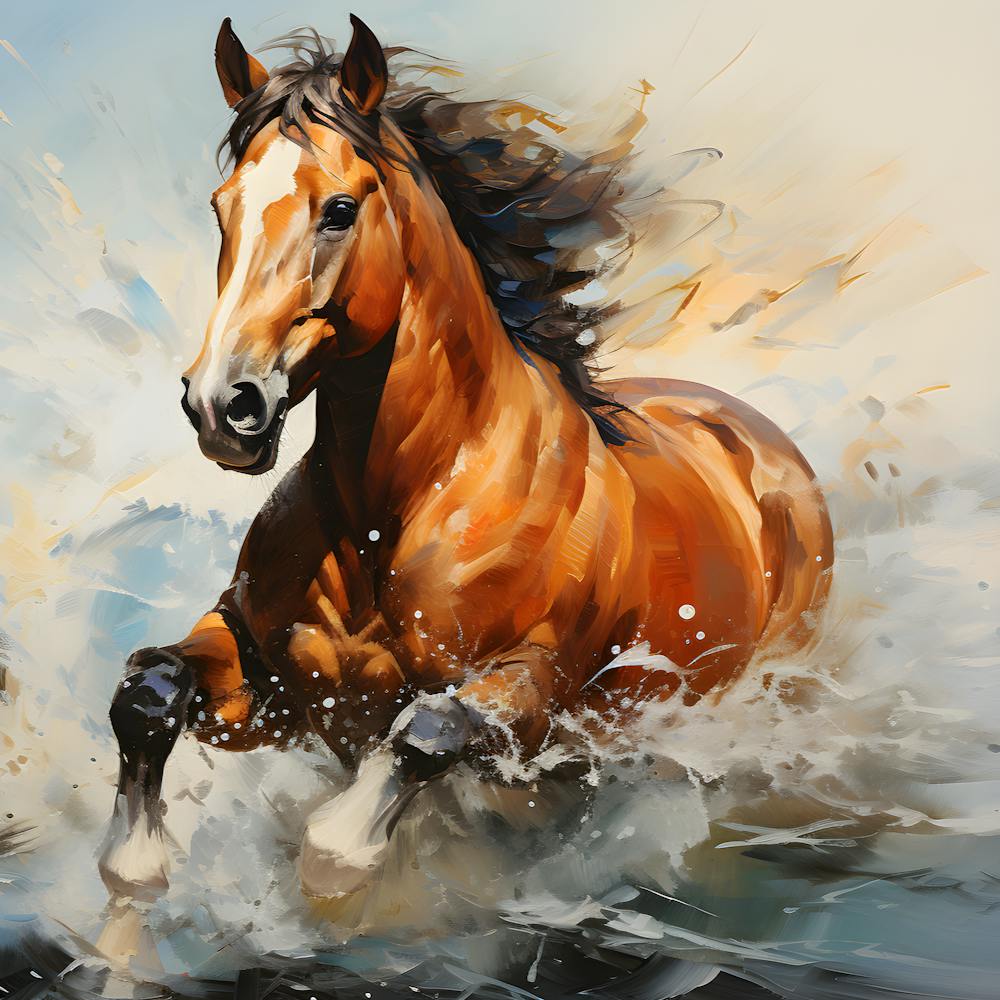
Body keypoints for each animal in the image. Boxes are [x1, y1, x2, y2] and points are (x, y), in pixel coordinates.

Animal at [99, 14, 832, 908]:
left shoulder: (531, 692)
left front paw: (340, 852)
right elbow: (146, 692)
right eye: (221, 208)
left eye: (338, 209)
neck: (396, 509)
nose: (222, 406)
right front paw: (136, 861)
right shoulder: (269, 685)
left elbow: (427, 731)